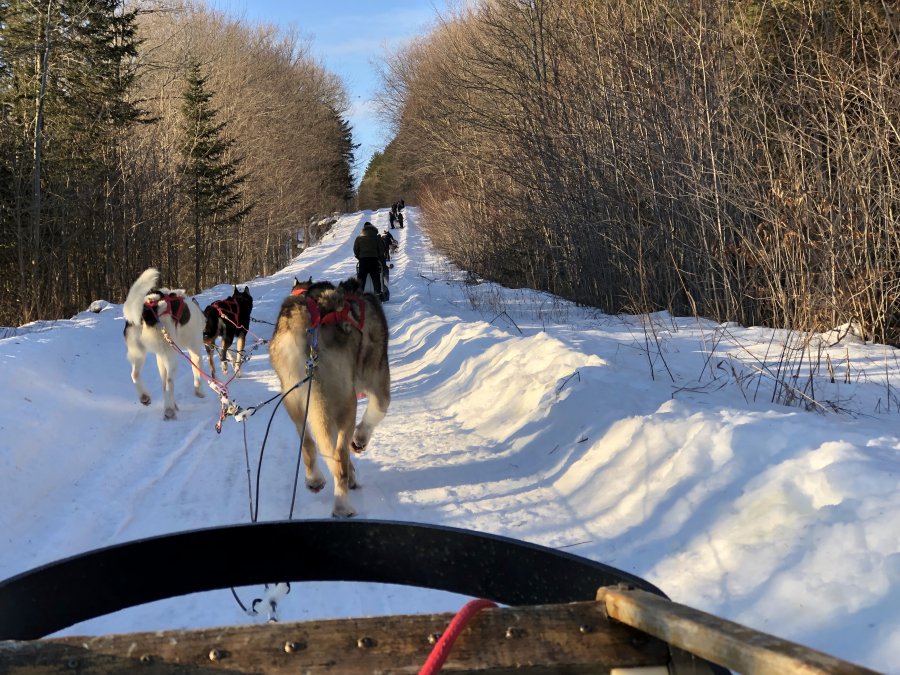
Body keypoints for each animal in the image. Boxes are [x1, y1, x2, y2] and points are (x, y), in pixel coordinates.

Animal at [123, 268, 207, 418]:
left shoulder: (160, 357)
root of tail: (147, 311)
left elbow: (163, 384)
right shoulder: (195, 352)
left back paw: (145, 397)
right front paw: (199, 392)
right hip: (171, 357)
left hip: (139, 353)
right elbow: (197, 375)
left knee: (136, 375)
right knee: (169, 382)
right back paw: (169, 410)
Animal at [268, 274, 392, 516]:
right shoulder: (378, 377)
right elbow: (380, 408)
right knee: (339, 457)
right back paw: (343, 504)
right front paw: (360, 439)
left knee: (310, 444)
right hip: (346, 403)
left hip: (295, 402)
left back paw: (315, 479)